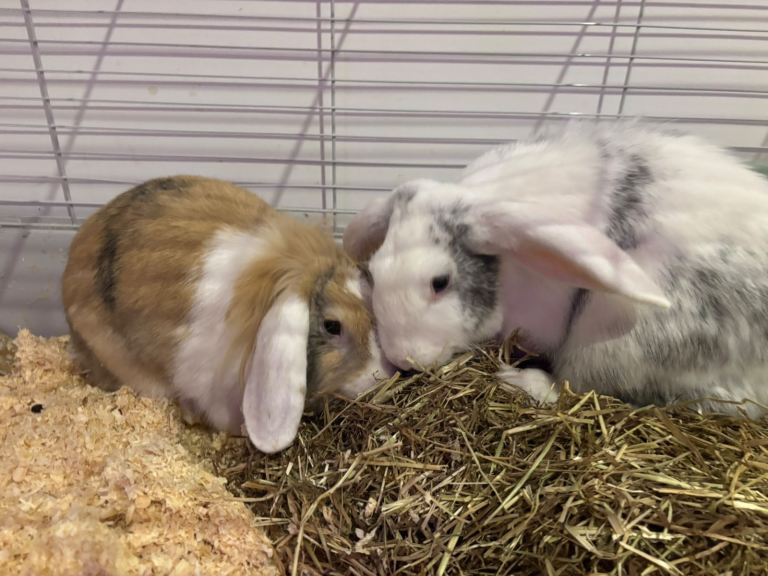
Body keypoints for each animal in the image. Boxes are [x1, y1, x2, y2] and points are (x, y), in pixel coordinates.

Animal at [343, 120, 768, 418]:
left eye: (440, 282)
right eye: (373, 273)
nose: (402, 359)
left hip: (611, 333)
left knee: (573, 387)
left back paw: (517, 379)